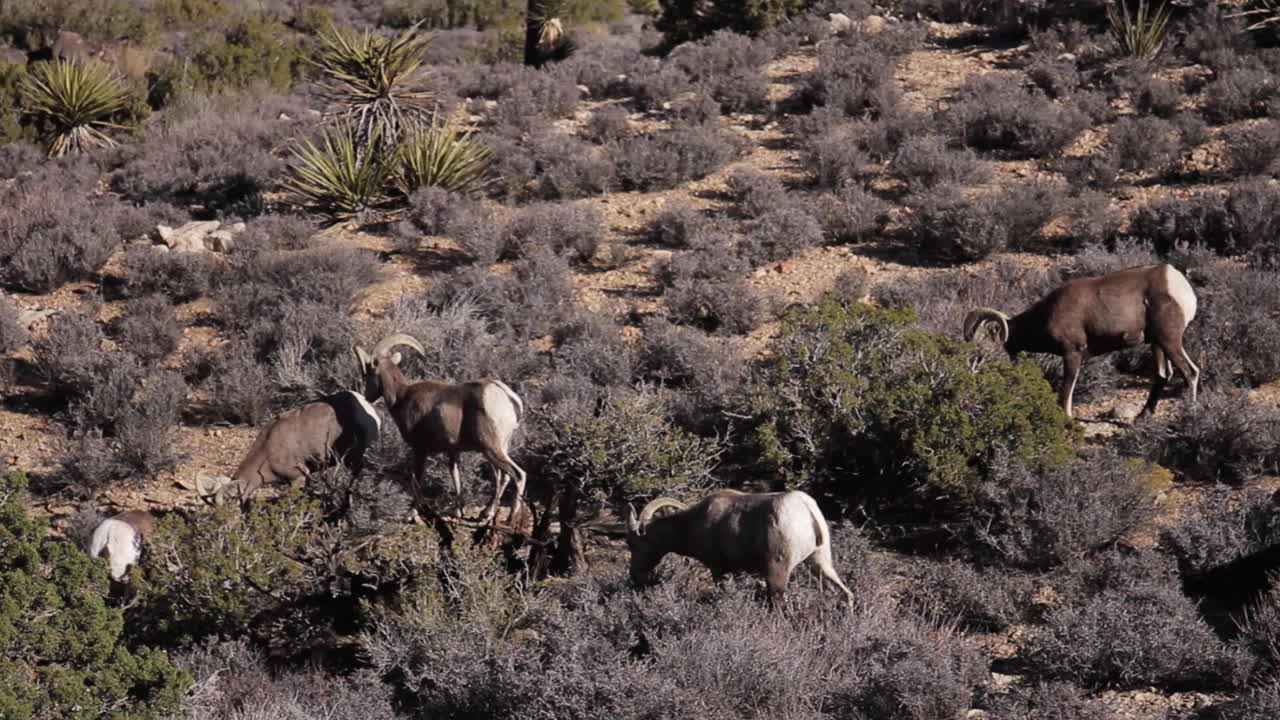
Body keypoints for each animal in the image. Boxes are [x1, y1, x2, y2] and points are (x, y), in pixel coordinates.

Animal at [354, 333, 526, 524]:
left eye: (367, 373)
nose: (367, 397)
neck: (402, 397)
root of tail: (508, 398)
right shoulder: (453, 452)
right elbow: (456, 477)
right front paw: (458, 512)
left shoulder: (420, 450)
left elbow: (418, 479)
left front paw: (411, 514)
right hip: (499, 448)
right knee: (503, 477)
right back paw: (487, 513)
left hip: (491, 449)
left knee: (518, 474)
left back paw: (510, 517)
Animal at [625, 489, 854, 610]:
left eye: (633, 543)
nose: (635, 575)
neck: (693, 523)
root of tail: (806, 508)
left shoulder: (719, 570)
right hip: (819, 562)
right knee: (846, 594)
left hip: (778, 571)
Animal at [963, 263, 1199, 419]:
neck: (1045, 314)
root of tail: (1178, 285)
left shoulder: (1072, 353)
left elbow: (1067, 388)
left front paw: (1067, 418)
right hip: (1157, 343)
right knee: (1162, 375)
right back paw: (1142, 416)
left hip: (1169, 340)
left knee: (1190, 372)